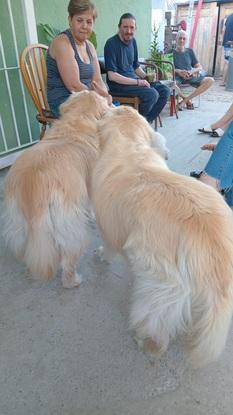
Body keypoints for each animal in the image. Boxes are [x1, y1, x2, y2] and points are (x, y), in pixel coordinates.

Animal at [3, 90, 109, 288]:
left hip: (17, 220)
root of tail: (34, 185)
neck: (79, 118)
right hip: (70, 225)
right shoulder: (90, 184)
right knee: (68, 260)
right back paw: (73, 280)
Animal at [91, 105, 233, 368]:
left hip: (161, 286)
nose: (113, 103)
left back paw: (148, 343)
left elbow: (108, 245)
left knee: (155, 322)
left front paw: (102, 255)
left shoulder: (107, 225)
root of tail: (211, 239)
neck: (130, 146)